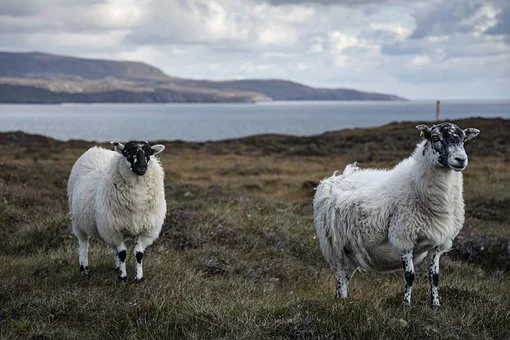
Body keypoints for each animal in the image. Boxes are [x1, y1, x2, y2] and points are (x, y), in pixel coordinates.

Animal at [67, 140, 166, 282]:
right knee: (84, 244)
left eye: (149, 153)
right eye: (127, 152)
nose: (141, 167)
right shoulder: (113, 229)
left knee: (114, 248)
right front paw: (123, 277)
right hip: (78, 221)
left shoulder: (145, 229)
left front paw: (138, 278)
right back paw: (84, 269)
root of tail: (96, 149)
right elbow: (123, 253)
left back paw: (117, 267)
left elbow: (139, 254)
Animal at [312, 123, 480, 308]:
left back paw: (342, 300)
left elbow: (434, 277)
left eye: (464, 140)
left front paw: (436, 305)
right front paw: (406, 305)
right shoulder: (404, 237)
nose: (461, 159)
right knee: (340, 275)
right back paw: (341, 303)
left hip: (352, 250)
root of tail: (335, 178)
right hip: (335, 245)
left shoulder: (438, 243)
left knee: (345, 277)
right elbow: (409, 276)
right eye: (435, 138)